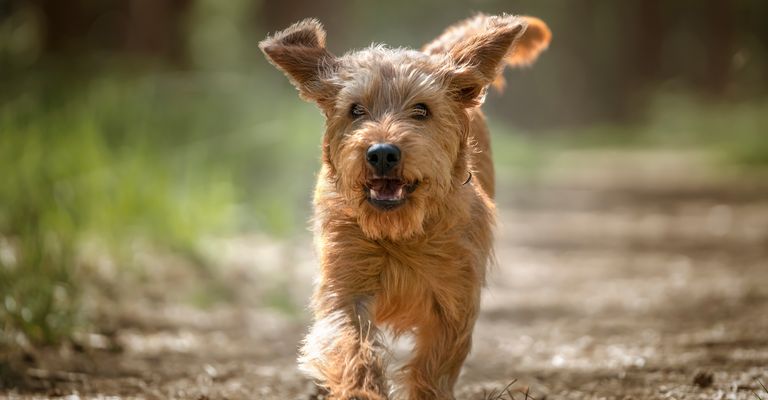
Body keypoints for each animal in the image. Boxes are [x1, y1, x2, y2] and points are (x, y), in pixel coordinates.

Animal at [260, 13, 548, 400]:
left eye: (421, 110)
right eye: (356, 110)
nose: (382, 152)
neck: (399, 234)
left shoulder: (454, 297)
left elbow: (434, 363)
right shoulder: (346, 283)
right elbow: (351, 343)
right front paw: (362, 390)